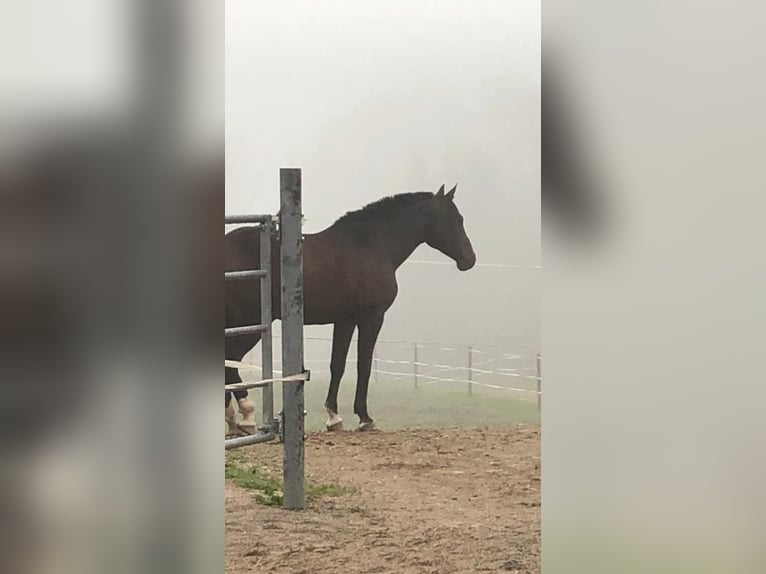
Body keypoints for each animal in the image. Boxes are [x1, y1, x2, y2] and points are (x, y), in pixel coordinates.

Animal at [224, 184, 474, 432]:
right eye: (456, 219)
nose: (469, 259)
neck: (371, 246)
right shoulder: (372, 318)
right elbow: (364, 366)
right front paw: (365, 418)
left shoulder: (345, 320)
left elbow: (338, 365)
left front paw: (334, 417)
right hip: (249, 324)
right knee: (231, 363)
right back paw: (246, 416)